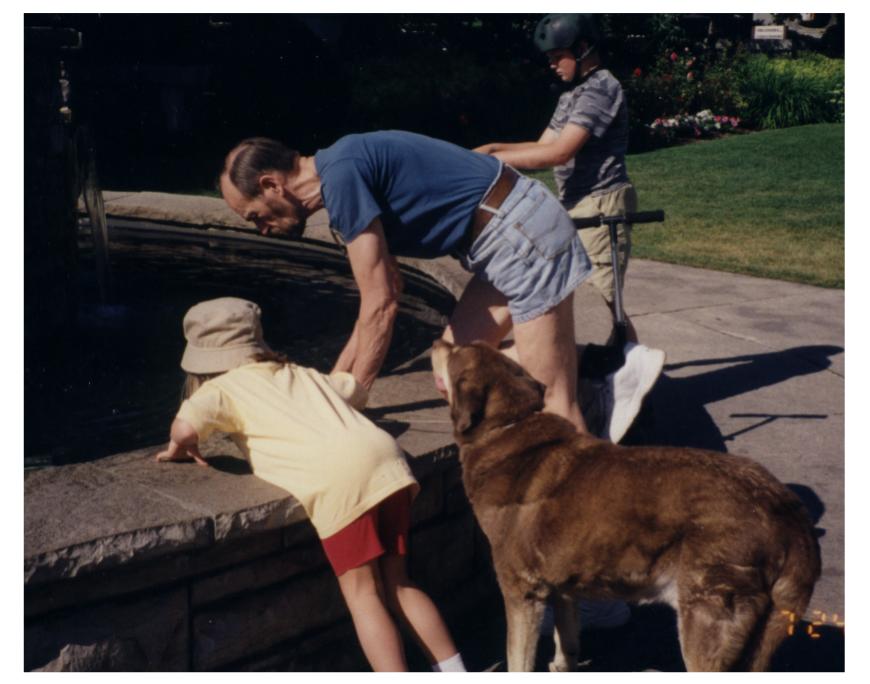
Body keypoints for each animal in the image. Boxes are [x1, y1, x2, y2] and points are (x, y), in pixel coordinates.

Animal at [432, 340, 820, 672]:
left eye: (454, 353)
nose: (438, 341)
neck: (508, 425)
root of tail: (788, 512)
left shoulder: (521, 592)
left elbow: (518, 658)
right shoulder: (561, 586)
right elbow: (567, 640)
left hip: (707, 623)